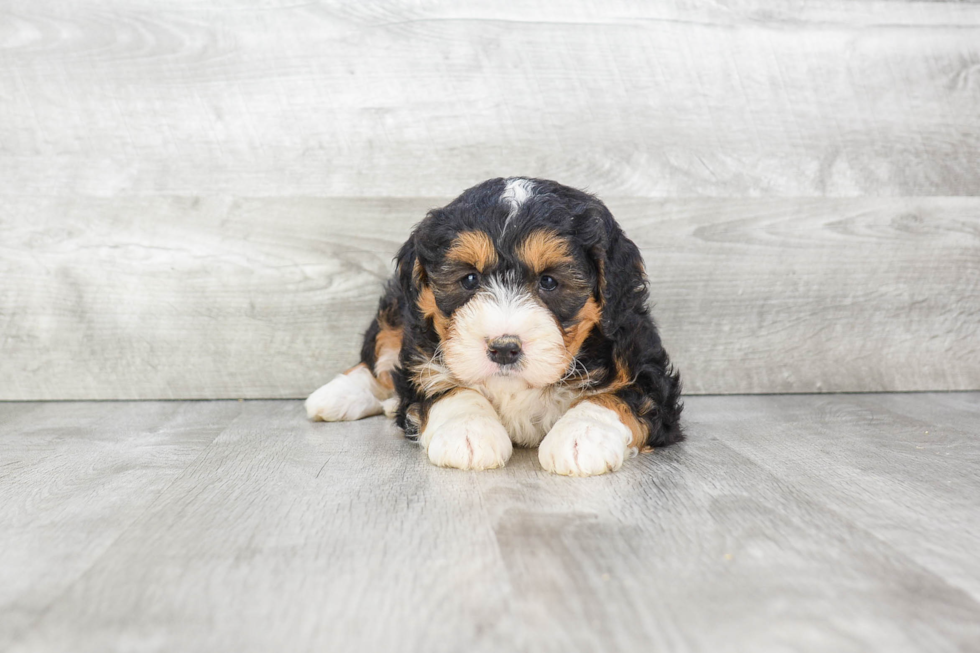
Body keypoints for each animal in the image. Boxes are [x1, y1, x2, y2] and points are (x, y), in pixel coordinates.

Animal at [306, 177, 680, 474]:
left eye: (549, 282)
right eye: (469, 279)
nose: (503, 348)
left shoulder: (646, 368)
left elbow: (617, 397)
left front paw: (581, 436)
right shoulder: (423, 352)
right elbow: (446, 387)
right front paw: (468, 432)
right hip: (399, 306)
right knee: (378, 359)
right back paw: (335, 395)